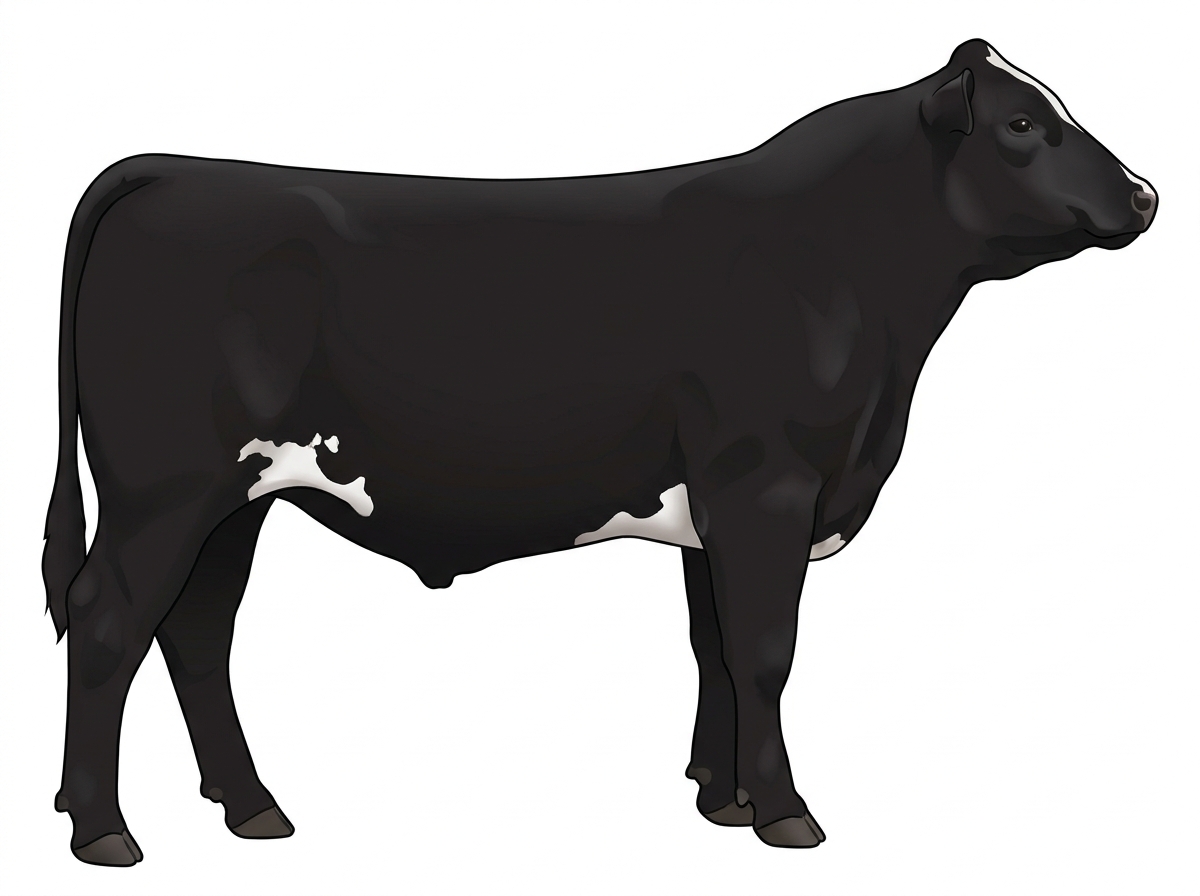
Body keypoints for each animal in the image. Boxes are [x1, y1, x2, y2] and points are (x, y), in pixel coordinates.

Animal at [42, 39, 1156, 865]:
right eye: (1022, 125)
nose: (1147, 194)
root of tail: (171, 168)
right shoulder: (768, 482)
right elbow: (766, 649)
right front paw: (786, 813)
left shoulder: (720, 504)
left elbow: (716, 645)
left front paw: (722, 798)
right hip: (164, 488)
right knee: (108, 620)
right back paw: (103, 830)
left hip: (237, 496)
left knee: (196, 632)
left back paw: (252, 807)